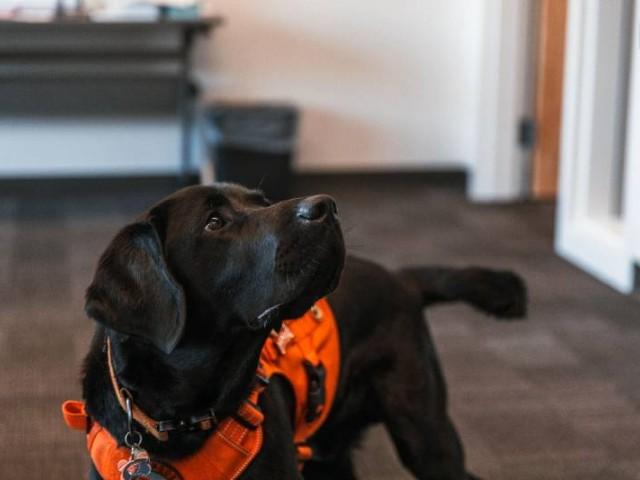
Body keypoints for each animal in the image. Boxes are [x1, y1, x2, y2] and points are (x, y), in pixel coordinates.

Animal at [82, 184, 524, 480]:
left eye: (262, 202)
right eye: (215, 222)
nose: (326, 205)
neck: (183, 418)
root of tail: (401, 278)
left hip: (424, 431)